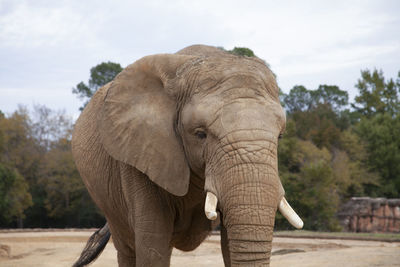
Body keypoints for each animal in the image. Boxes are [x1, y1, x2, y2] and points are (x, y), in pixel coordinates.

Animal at [72, 45, 304, 266]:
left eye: (280, 135)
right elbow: (152, 250)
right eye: (200, 134)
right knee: (128, 249)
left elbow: (230, 246)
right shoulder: (138, 157)